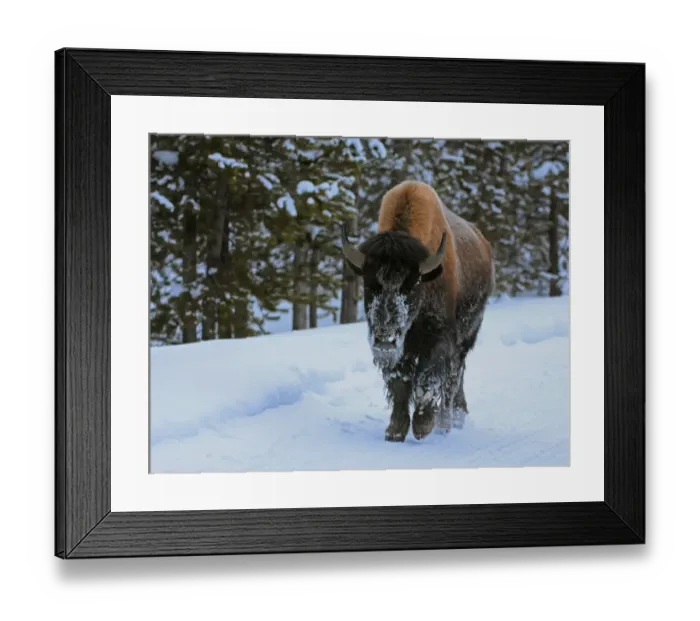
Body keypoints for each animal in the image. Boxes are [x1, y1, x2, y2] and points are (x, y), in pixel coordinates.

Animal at [342, 180, 495, 442]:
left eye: (411, 286)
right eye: (369, 285)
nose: (385, 340)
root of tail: (482, 241)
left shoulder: (438, 338)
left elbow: (427, 378)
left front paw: (423, 426)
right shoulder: (400, 350)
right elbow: (400, 383)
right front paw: (395, 431)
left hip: (466, 337)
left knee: (453, 378)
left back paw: (447, 424)